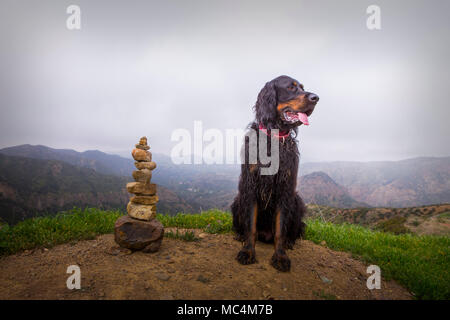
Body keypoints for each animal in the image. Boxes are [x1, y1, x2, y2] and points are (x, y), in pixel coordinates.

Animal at [232, 75, 320, 272]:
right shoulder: (250, 186)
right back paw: (240, 235)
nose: (316, 98)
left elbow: (280, 228)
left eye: (302, 87)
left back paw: (289, 242)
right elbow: (251, 226)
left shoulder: (285, 188)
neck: (274, 137)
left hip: (297, 202)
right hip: (238, 200)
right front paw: (248, 251)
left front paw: (280, 256)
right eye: (291, 87)